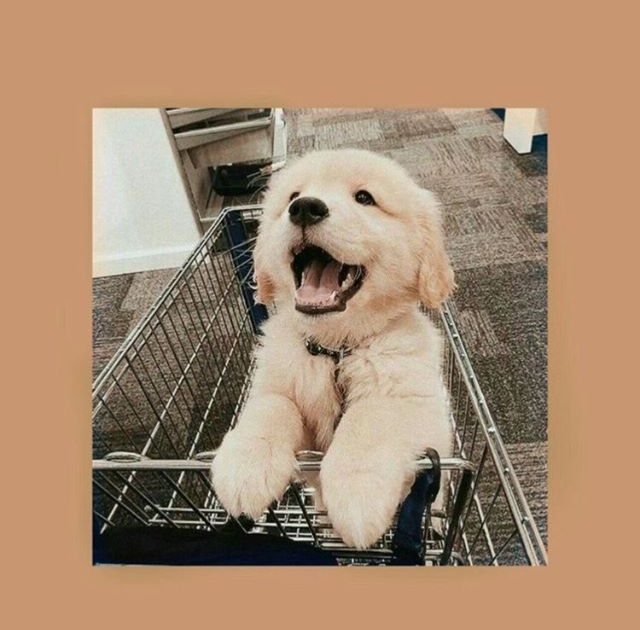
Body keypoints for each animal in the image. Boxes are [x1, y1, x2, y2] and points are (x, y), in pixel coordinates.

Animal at [211, 149, 455, 549]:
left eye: (365, 198)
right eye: (292, 196)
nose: (305, 208)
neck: (336, 350)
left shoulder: (417, 404)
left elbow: (368, 419)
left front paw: (356, 491)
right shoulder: (279, 386)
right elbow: (272, 406)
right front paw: (247, 464)